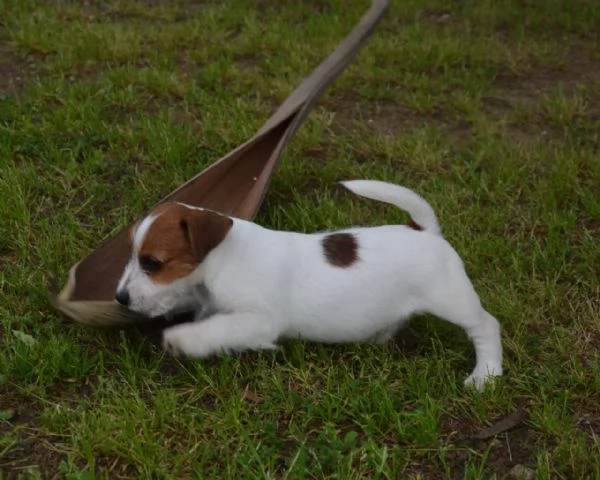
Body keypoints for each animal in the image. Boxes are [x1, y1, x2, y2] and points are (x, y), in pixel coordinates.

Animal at [116, 180, 502, 390]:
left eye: (152, 263)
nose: (119, 298)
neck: (223, 257)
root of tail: (425, 229)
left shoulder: (259, 320)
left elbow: (216, 329)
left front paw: (182, 340)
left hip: (451, 298)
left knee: (486, 326)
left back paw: (486, 375)